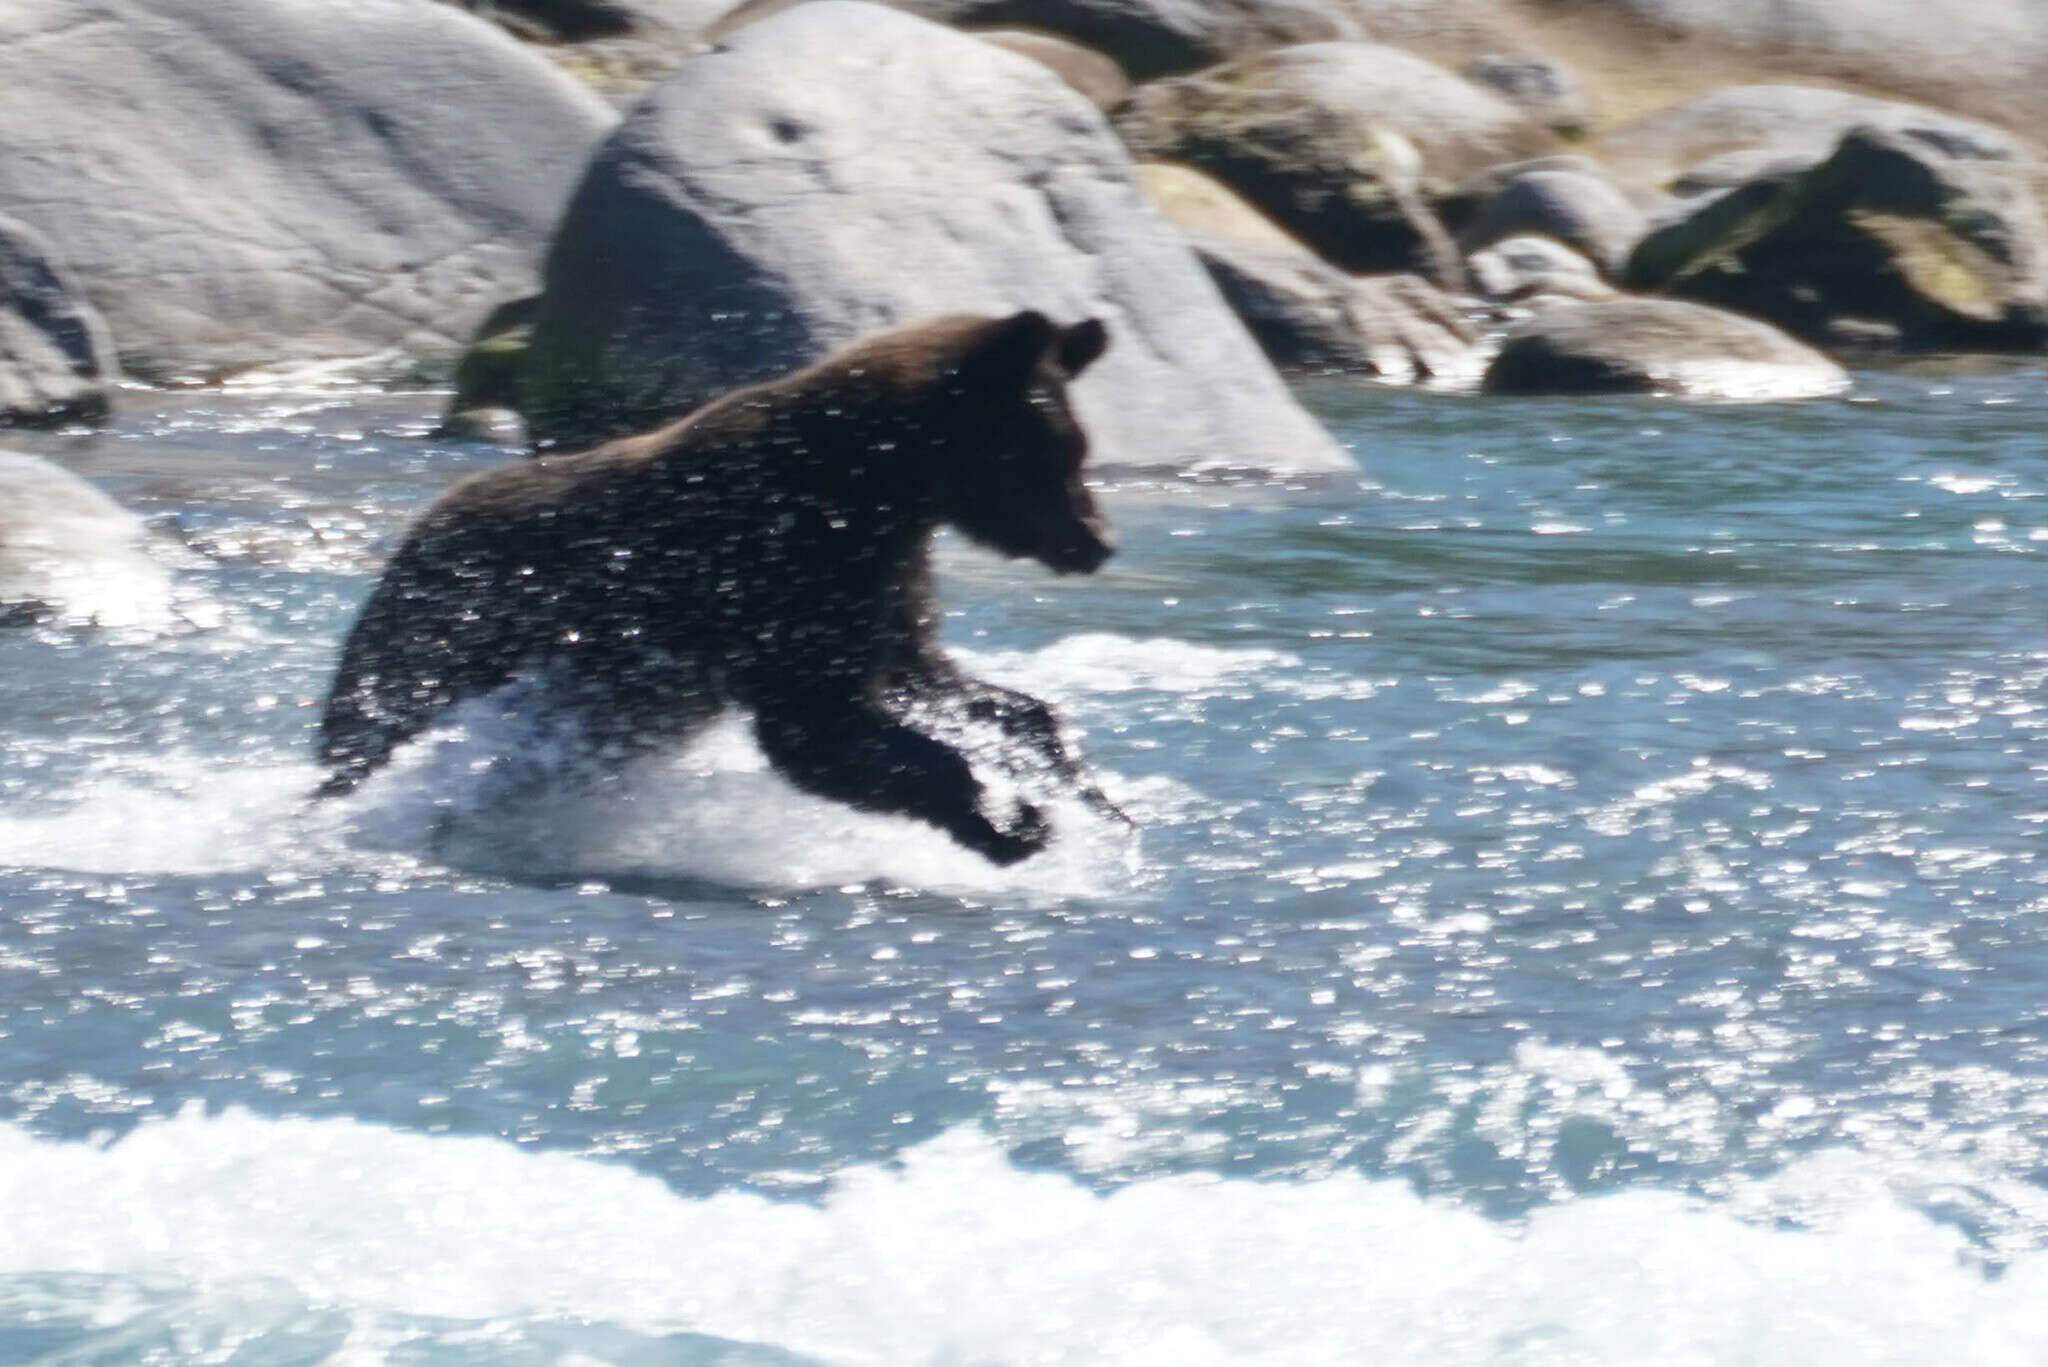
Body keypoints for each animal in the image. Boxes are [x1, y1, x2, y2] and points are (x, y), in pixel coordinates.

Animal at [315, 311, 1122, 864]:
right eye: (1054, 449)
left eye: (1078, 446)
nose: (1096, 542)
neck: (875, 486)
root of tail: (424, 520)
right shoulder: (773, 572)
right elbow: (819, 729)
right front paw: (1008, 820)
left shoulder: (880, 586)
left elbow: (941, 682)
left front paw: (1091, 796)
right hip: (446, 629)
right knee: (375, 724)